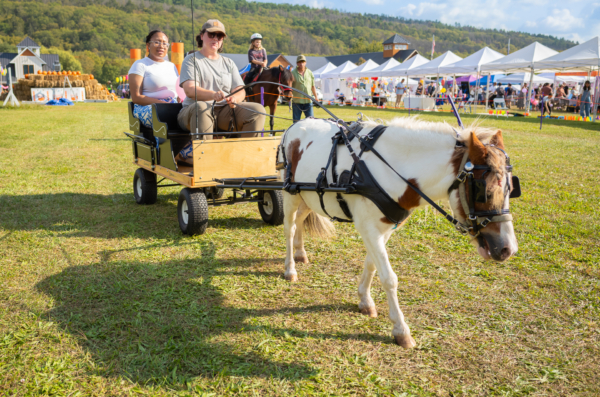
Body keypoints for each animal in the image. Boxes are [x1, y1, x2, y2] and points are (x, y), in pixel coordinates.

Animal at [278, 117, 516, 346]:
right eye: (484, 192)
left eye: (512, 189)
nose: (508, 249)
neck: (389, 170)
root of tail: (297, 124)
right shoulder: (368, 228)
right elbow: (389, 277)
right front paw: (401, 330)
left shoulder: (384, 229)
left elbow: (372, 265)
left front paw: (365, 300)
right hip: (289, 193)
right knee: (289, 227)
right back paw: (290, 268)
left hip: (308, 197)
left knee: (300, 220)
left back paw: (300, 253)